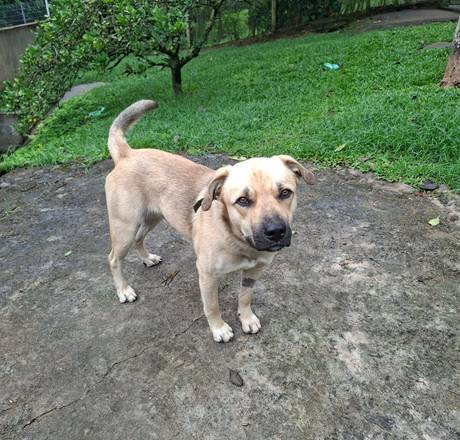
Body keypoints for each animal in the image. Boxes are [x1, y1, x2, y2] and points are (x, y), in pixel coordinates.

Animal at [105, 100, 315, 342]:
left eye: (285, 193)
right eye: (242, 200)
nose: (276, 232)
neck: (238, 239)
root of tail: (127, 154)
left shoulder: (254, 271)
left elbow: (245, 297)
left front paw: (246, 318)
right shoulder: (207, 275)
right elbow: (212, 306)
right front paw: (219, 329)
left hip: (152, 217)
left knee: (140, 239)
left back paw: (147, 258)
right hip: (125, 227)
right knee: (113, 259)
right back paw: (123, 290)